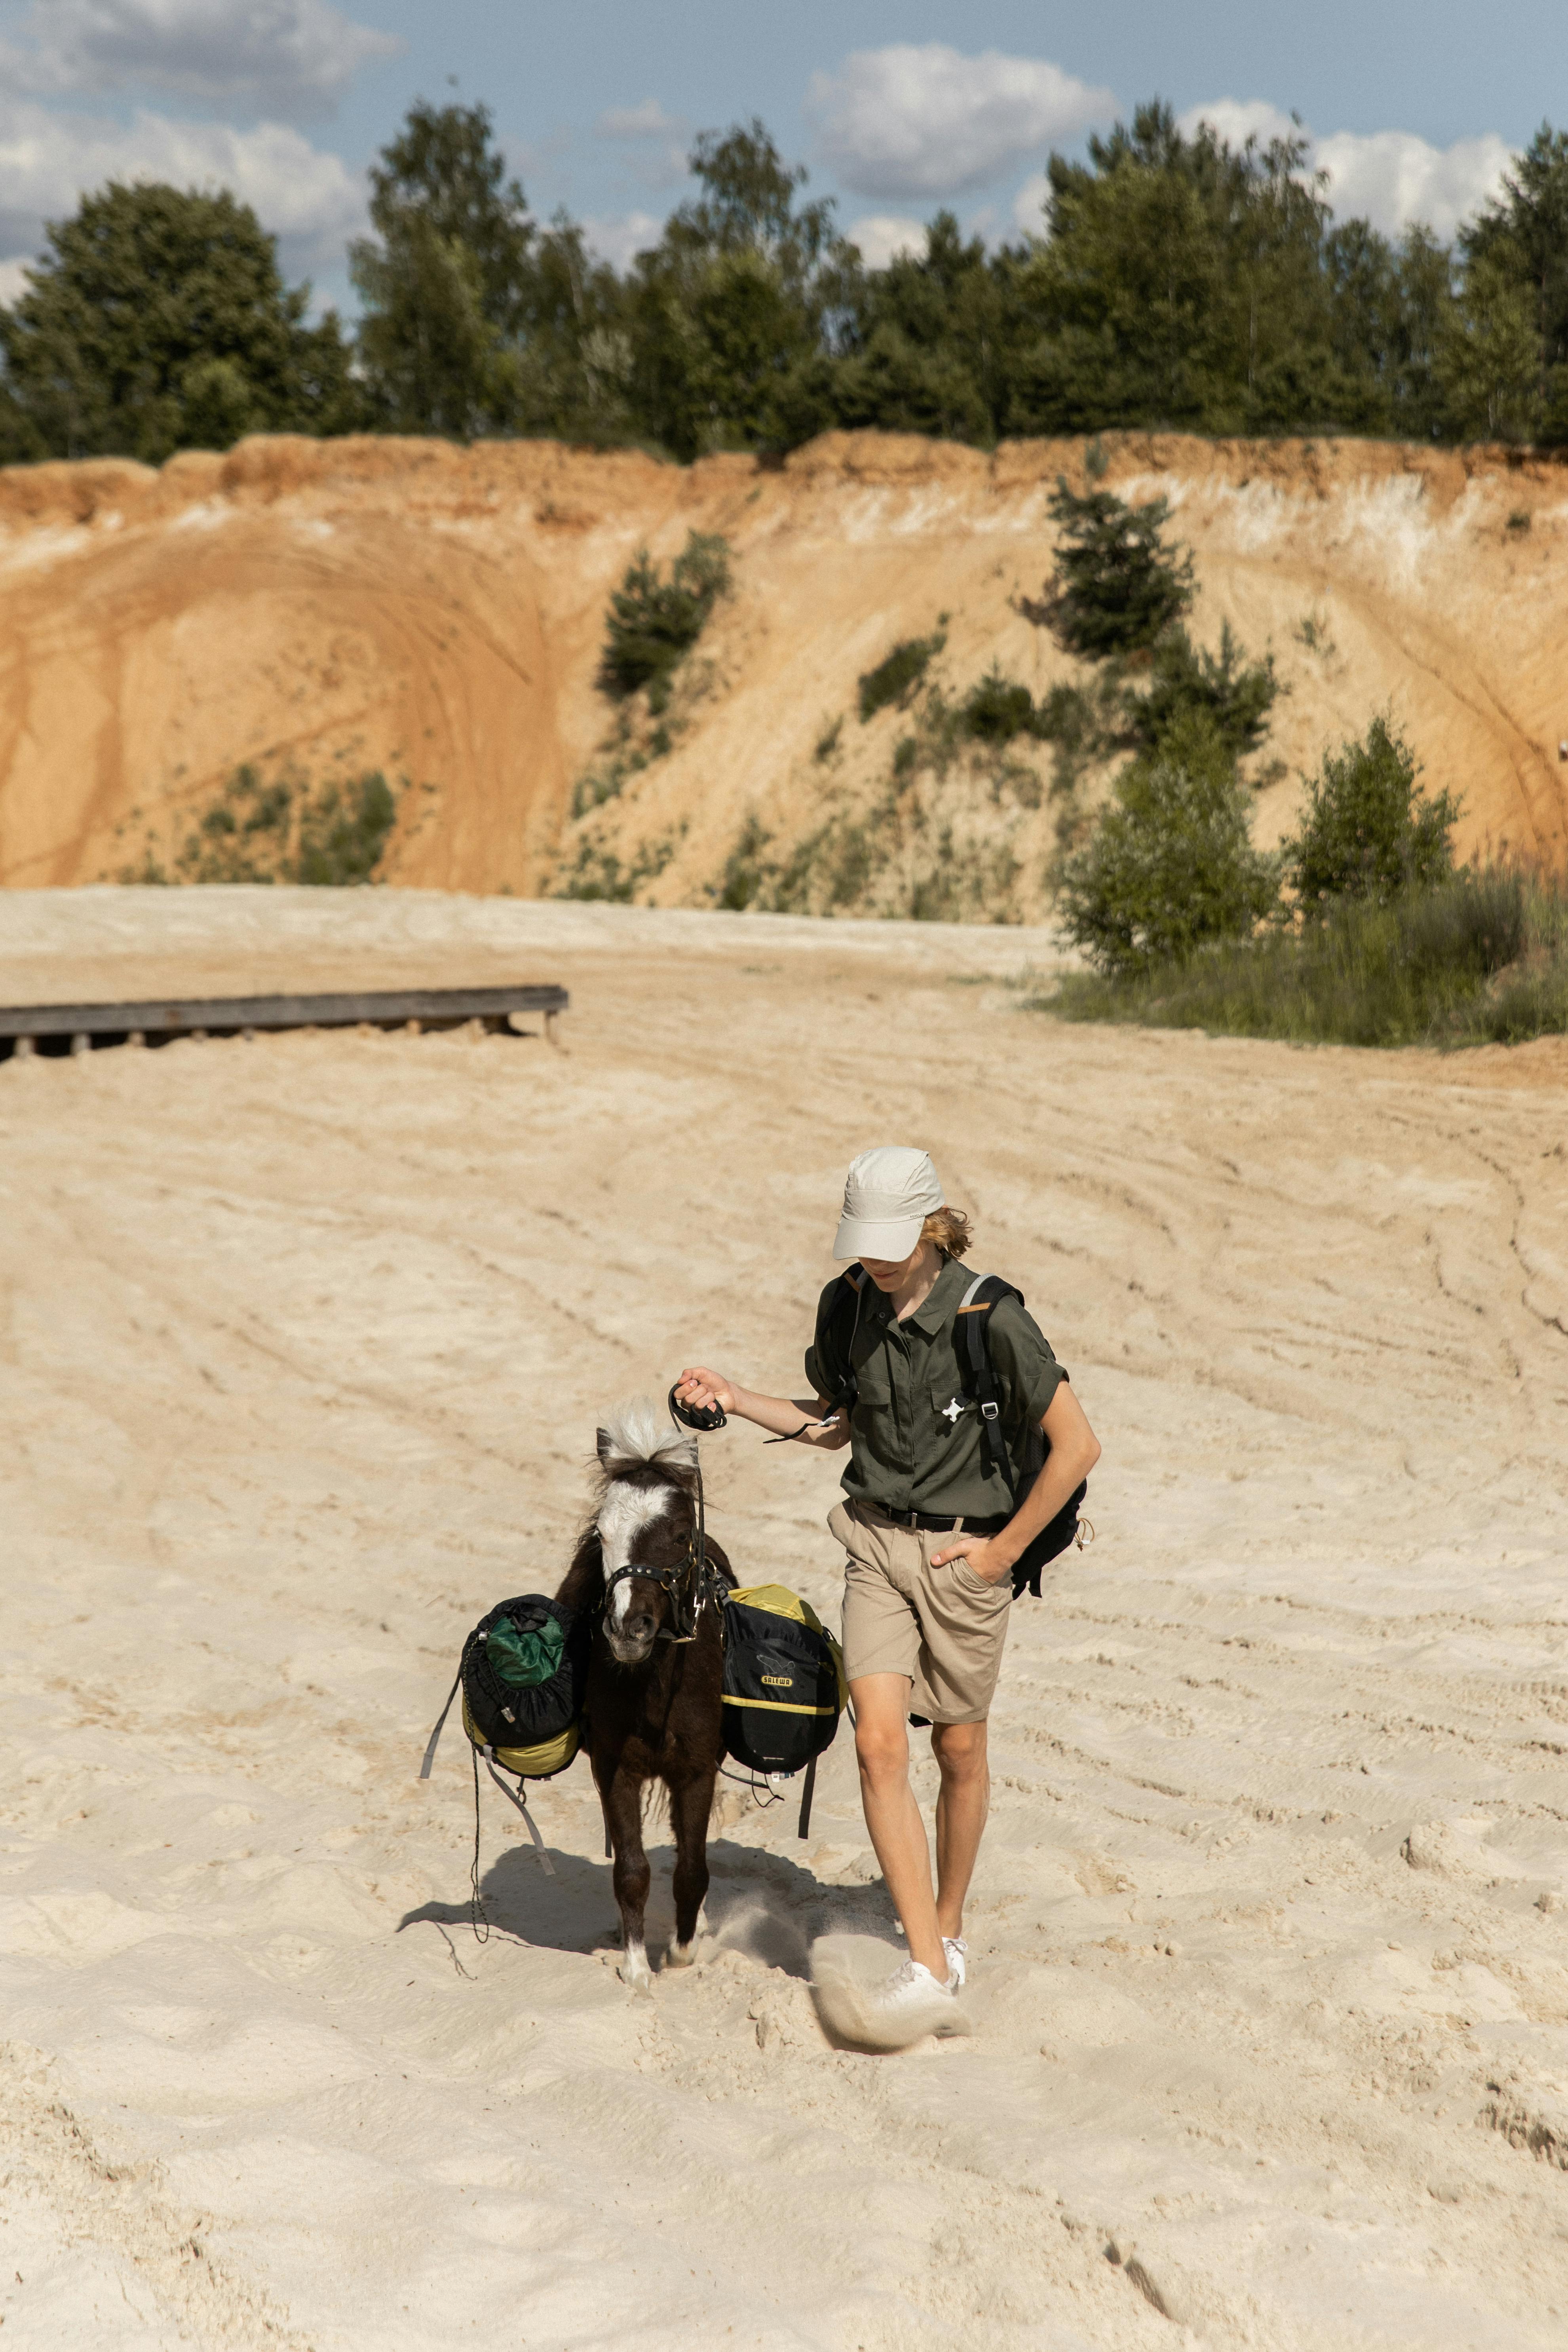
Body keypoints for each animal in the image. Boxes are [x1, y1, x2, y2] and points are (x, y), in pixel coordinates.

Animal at [557, 1392, 738, 1985]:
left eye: (681, 1533)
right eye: (601, 1534)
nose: (627, 1628)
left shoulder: (698, 1770)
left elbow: (692, 1869)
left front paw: (681, 1953)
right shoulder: (615, 1768)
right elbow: (632, 1870)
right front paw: (637, 1968)